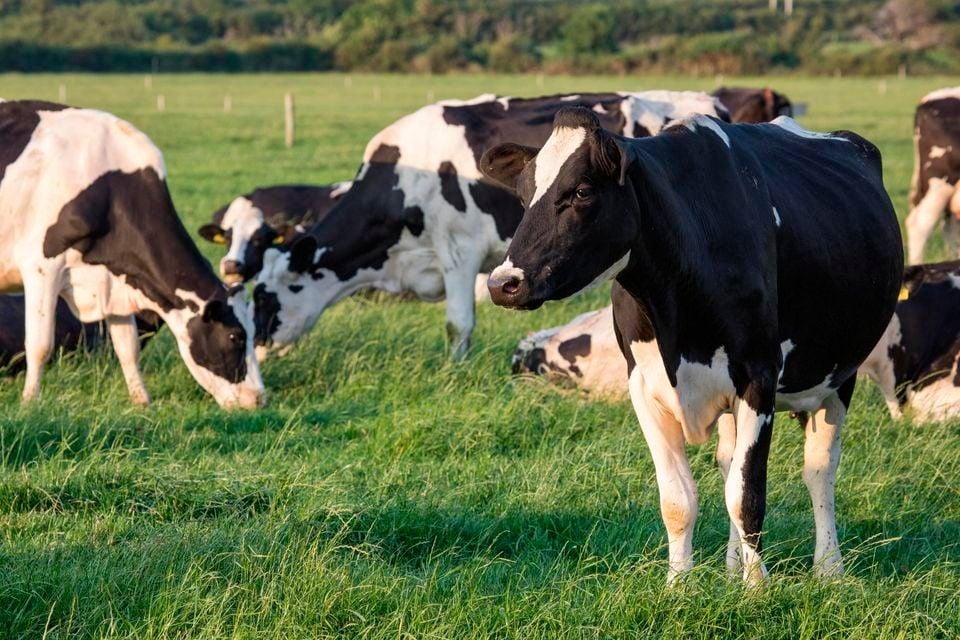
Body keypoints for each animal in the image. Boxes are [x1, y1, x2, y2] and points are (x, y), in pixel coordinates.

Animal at [0, 100, 265, 408]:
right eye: (236, 336)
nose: (259, 398)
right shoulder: (42, 267)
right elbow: (40, 345)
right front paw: (30, 402)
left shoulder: (116, 276)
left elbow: (128, 347)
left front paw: (142, 402)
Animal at [480, 107, 902, 583]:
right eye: (523, 194)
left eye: (582, 191)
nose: (502, 284)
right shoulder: (644, 387)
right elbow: (679, 499)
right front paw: (680, 584)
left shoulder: (759, 377)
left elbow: (747, 496)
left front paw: (757, 587)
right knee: (729, 462)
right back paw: (732, 566)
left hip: (839, 374)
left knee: (819, 470)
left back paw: (828, 567)